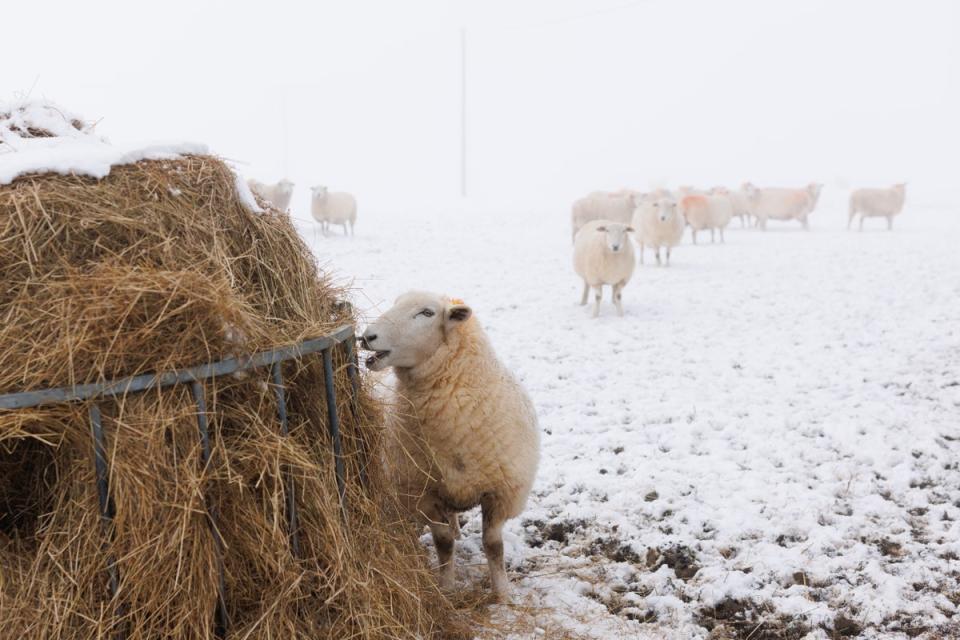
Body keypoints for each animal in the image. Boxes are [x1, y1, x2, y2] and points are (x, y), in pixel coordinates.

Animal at [360, 292, 540, 604]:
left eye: (427, 313)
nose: (367, 336)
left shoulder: (499, 492)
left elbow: (493, 546)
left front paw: (502, 595)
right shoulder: (425, 493)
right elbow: (443, 544)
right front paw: (446, 588)